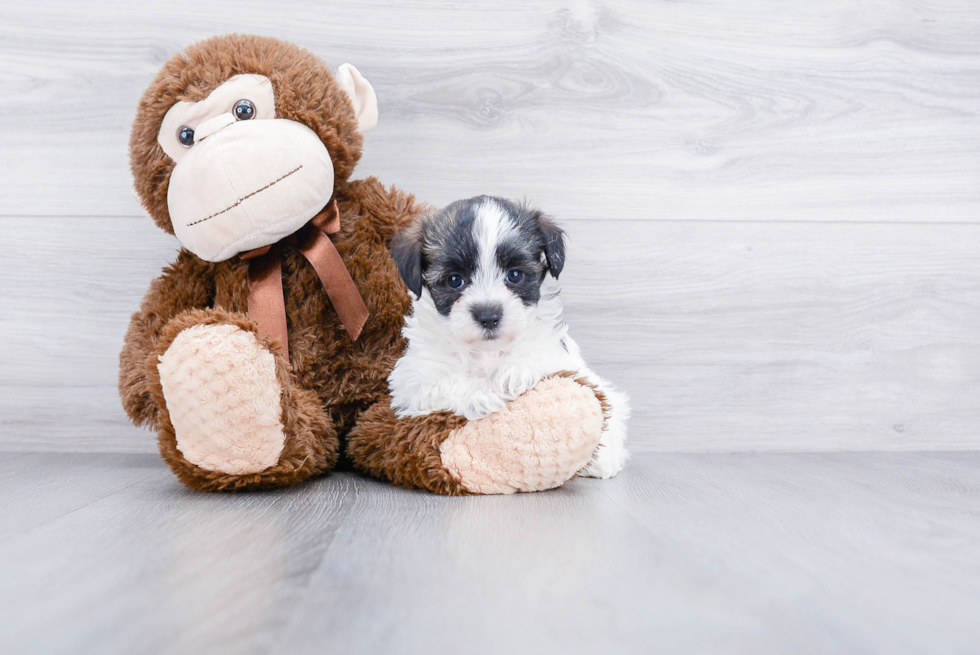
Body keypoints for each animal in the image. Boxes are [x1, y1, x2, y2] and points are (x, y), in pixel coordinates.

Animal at [386, 195, 632, 476]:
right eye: (455, 280)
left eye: (514, 275)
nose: (488, 315)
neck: (486, 350)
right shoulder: (413, 379)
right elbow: (443, 382)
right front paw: (481, 393)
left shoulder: (559, 355)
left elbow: (542, 355)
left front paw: (514, 371)